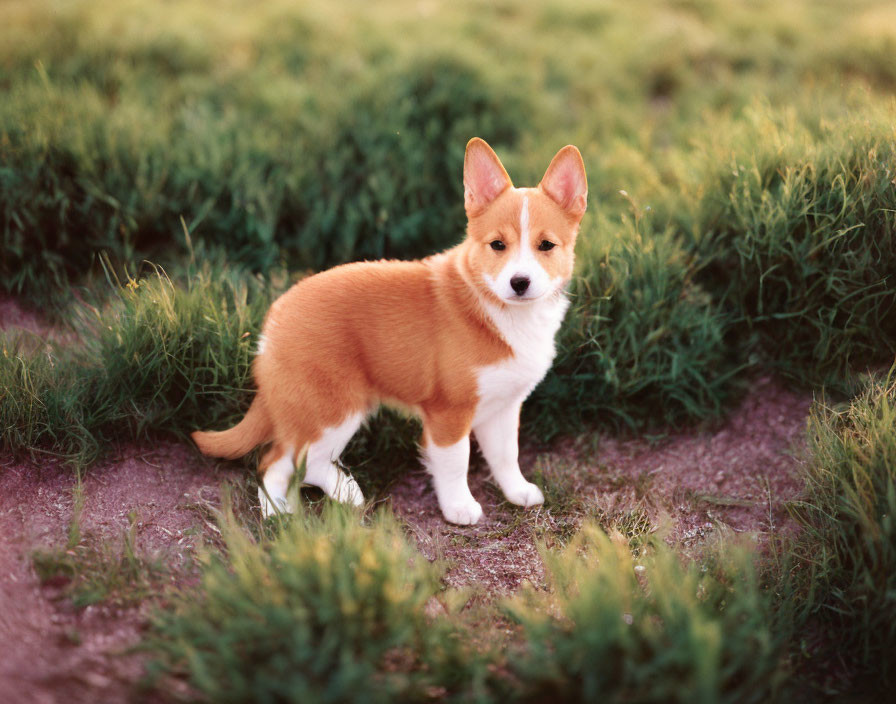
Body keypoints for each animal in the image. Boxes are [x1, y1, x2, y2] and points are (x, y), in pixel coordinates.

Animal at [192, 139, 584, 524]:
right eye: (498, 245)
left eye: (546, 246)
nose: (520, 283)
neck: (502, 311)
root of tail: (273, 323)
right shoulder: (449, 411)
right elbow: (456, 462)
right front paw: (459, 508)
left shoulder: (503, 406)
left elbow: (506, 455)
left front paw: (518, 492)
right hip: (331, 410)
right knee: (276, 462)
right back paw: (279, 515)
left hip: (338, 411)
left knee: (308, 462)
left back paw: (346, 494)